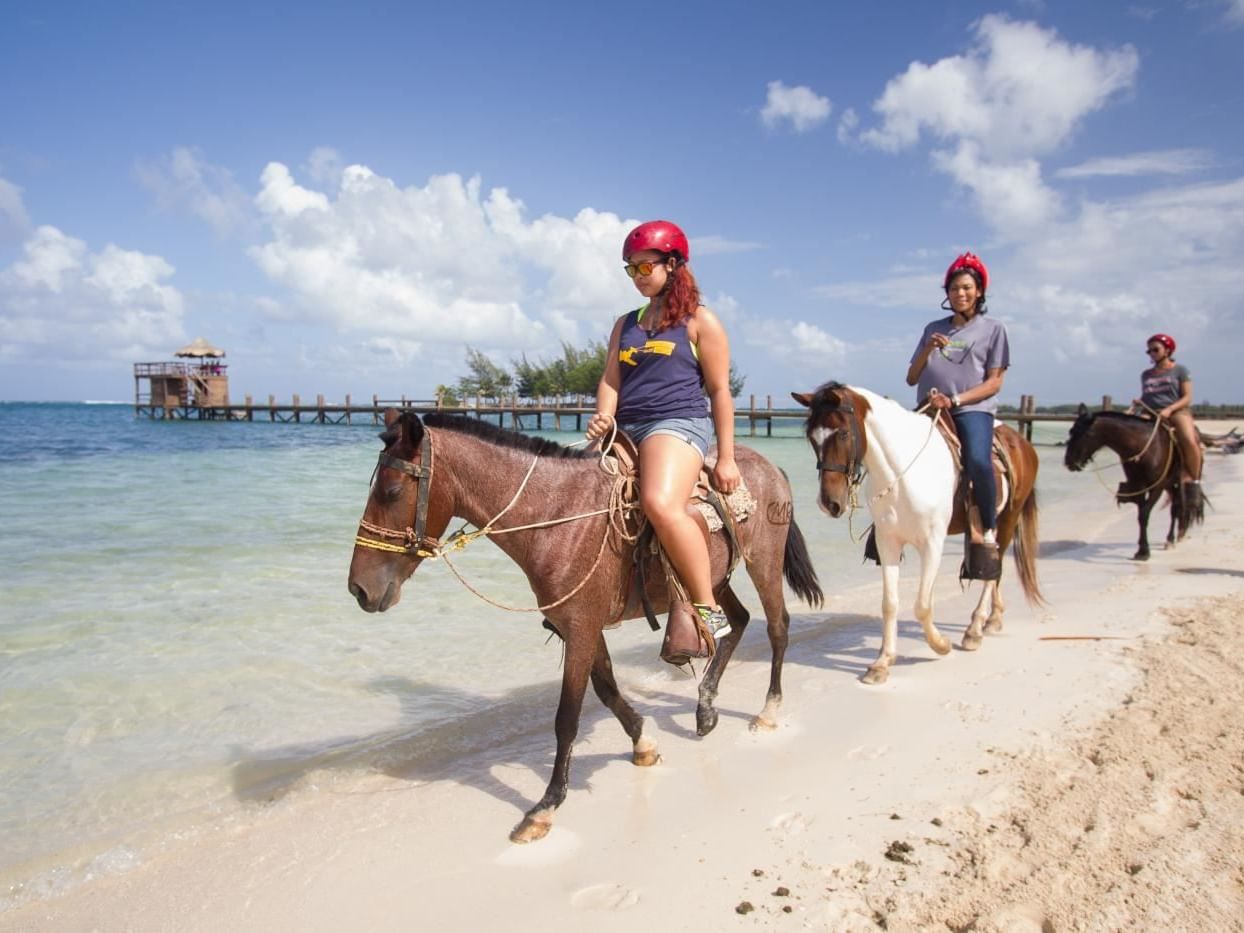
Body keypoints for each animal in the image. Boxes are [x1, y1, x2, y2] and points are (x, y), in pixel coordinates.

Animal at [345, 413, 821, 845]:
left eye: (390, 491)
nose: (359, 589)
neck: (557, 515)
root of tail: (770, 466)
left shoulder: (580, 627)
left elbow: (567, 718)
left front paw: (545, 807)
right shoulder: (582, 626)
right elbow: (608, 689)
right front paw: (643, 745)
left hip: (764, 564)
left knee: (777, 627)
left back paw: (768, 711)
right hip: (715, 582)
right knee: (736, 623)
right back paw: (704, 709)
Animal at [791, 380, 1044, 686]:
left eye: (842, 433)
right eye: (811, 438)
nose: (829, 503)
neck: (902, 473)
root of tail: (1021, 441)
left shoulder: (932, 542)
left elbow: (922, 604)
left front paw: (941, 645)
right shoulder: (888, 542)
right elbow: (890, 603)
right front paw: (882, 663)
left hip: (1007, 518)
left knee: (993, 570)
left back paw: (975, 628)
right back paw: (994, 618)